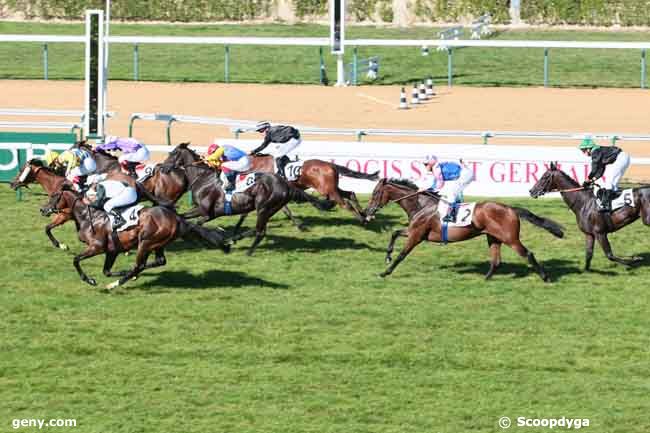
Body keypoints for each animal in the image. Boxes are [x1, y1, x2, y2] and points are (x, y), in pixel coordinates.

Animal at [39, 187, 228, 288]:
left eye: (54, 196)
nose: (43, 209)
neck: (88, 215)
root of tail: (176, 218)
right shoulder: (112, 250)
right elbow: (106, 271)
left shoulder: (97, 247)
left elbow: (76, 260)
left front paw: (90, 280)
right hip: (158, 243)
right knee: (158, 261)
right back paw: (128, 276)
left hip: (145, 241)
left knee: (139, 265)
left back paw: (115, 284)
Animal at [165, 143, 334, 255]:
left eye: (172, 153)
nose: (162, 167)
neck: (203, 178)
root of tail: (285, 183)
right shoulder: (202, 210)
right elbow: (183, 218)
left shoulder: (206, 211)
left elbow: (194, 223)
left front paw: (211, 239)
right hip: (268, 209)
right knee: (259, 229)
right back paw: (233, 239)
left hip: (264, 207)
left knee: (260, 232)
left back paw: (247, 251)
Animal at [248, 154, 380, 223]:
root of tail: (331, 165)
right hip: (332, 188)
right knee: (350, 193)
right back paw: (365, 214)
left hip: (326, 190)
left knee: (345, 203)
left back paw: (362, 219)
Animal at [362, 178, 564, 282]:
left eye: (375, 193)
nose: (367, 211)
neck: (421, 205)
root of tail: (510, 209)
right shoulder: (414, 231)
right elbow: (394, 233)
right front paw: (387, 257)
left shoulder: (417, 235)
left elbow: (402, 254)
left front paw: (385, 272)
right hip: (493, 237)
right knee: (496, 261)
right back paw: (485, 278)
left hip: (510, 238)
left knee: (528, 254)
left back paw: (546, 277)